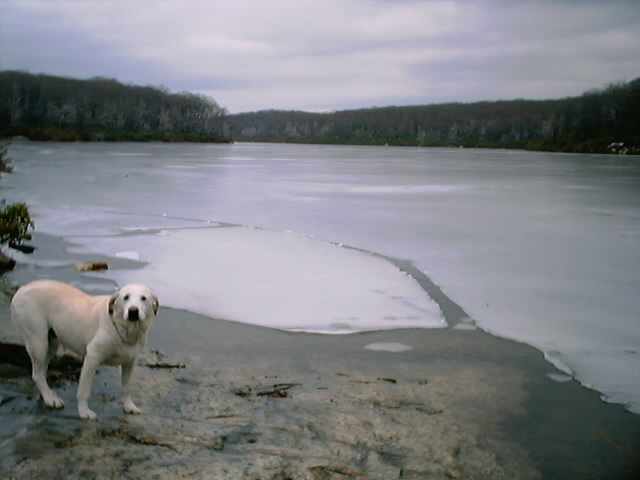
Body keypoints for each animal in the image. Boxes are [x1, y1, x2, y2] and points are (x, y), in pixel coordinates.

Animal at [11, 280, 159, 418]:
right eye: (126, 297)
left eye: (144, 298)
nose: (133, 311)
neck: (126, 330)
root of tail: (23, 288)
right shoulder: (92, 357)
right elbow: (84, 390)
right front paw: (84, 411)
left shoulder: (129, 362)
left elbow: (127, 388)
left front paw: (129, 406)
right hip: (38, 343)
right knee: (36, 374)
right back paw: (49, 398)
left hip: (51, 343)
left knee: (41, 372)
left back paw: (48, 395)